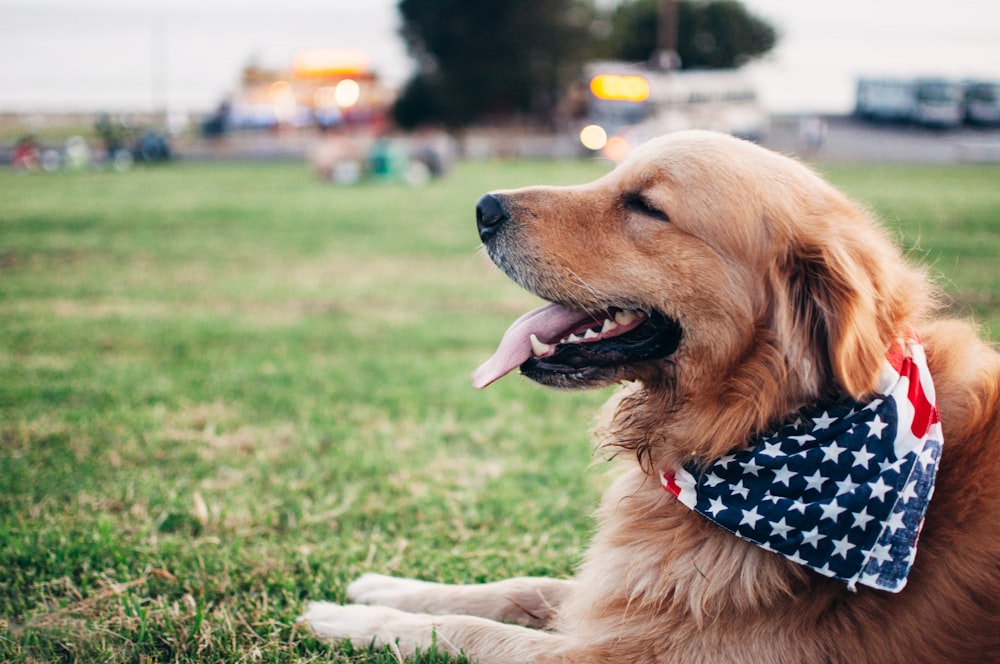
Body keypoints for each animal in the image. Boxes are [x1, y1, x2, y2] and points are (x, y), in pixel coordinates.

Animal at [302, 131, 1000, 664]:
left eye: (645, 206)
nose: (483, 207)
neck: (753, 426)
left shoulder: (617, 653)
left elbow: (464, 631)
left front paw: (345, 620)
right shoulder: (622, 596)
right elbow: (513, 587)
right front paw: (383, 586)